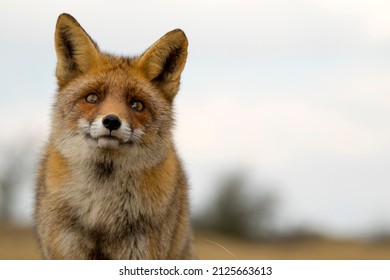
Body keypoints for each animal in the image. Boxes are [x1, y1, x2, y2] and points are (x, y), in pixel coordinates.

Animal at [35, 12, 197, 258]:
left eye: (137, 105)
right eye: (92, 98)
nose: (111, 121)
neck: (102, 213)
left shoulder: (141, 251)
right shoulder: (65, 249)